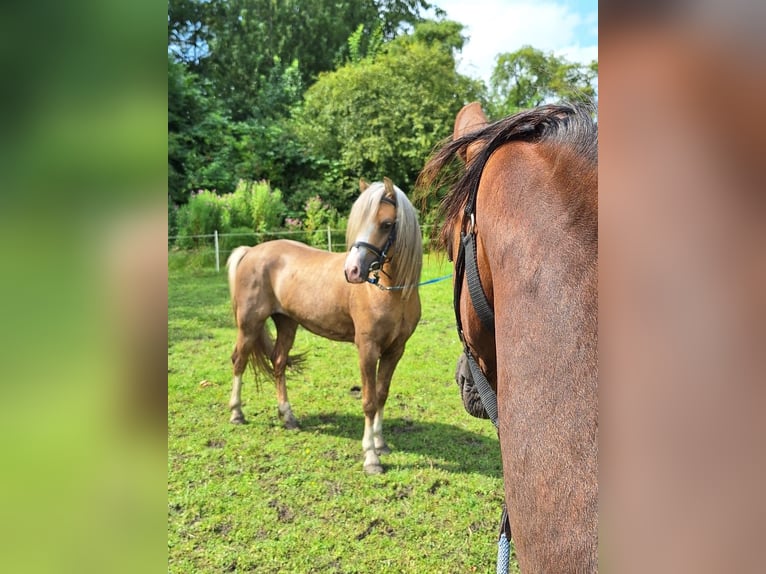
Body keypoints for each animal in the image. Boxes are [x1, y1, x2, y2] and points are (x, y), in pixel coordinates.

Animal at [226, 180, 426, 476]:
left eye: (387, 223)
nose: (352, 271)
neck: (389, 292)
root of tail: (251, 251)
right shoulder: (367, 349)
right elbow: (368, 401)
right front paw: (371, 458)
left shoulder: (395, 350)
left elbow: (381, 395)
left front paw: (380, 443)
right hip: (250, 324)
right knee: (239, 361)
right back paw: (237, 413)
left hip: (287, 323)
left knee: (278, 363)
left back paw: (288, 417)